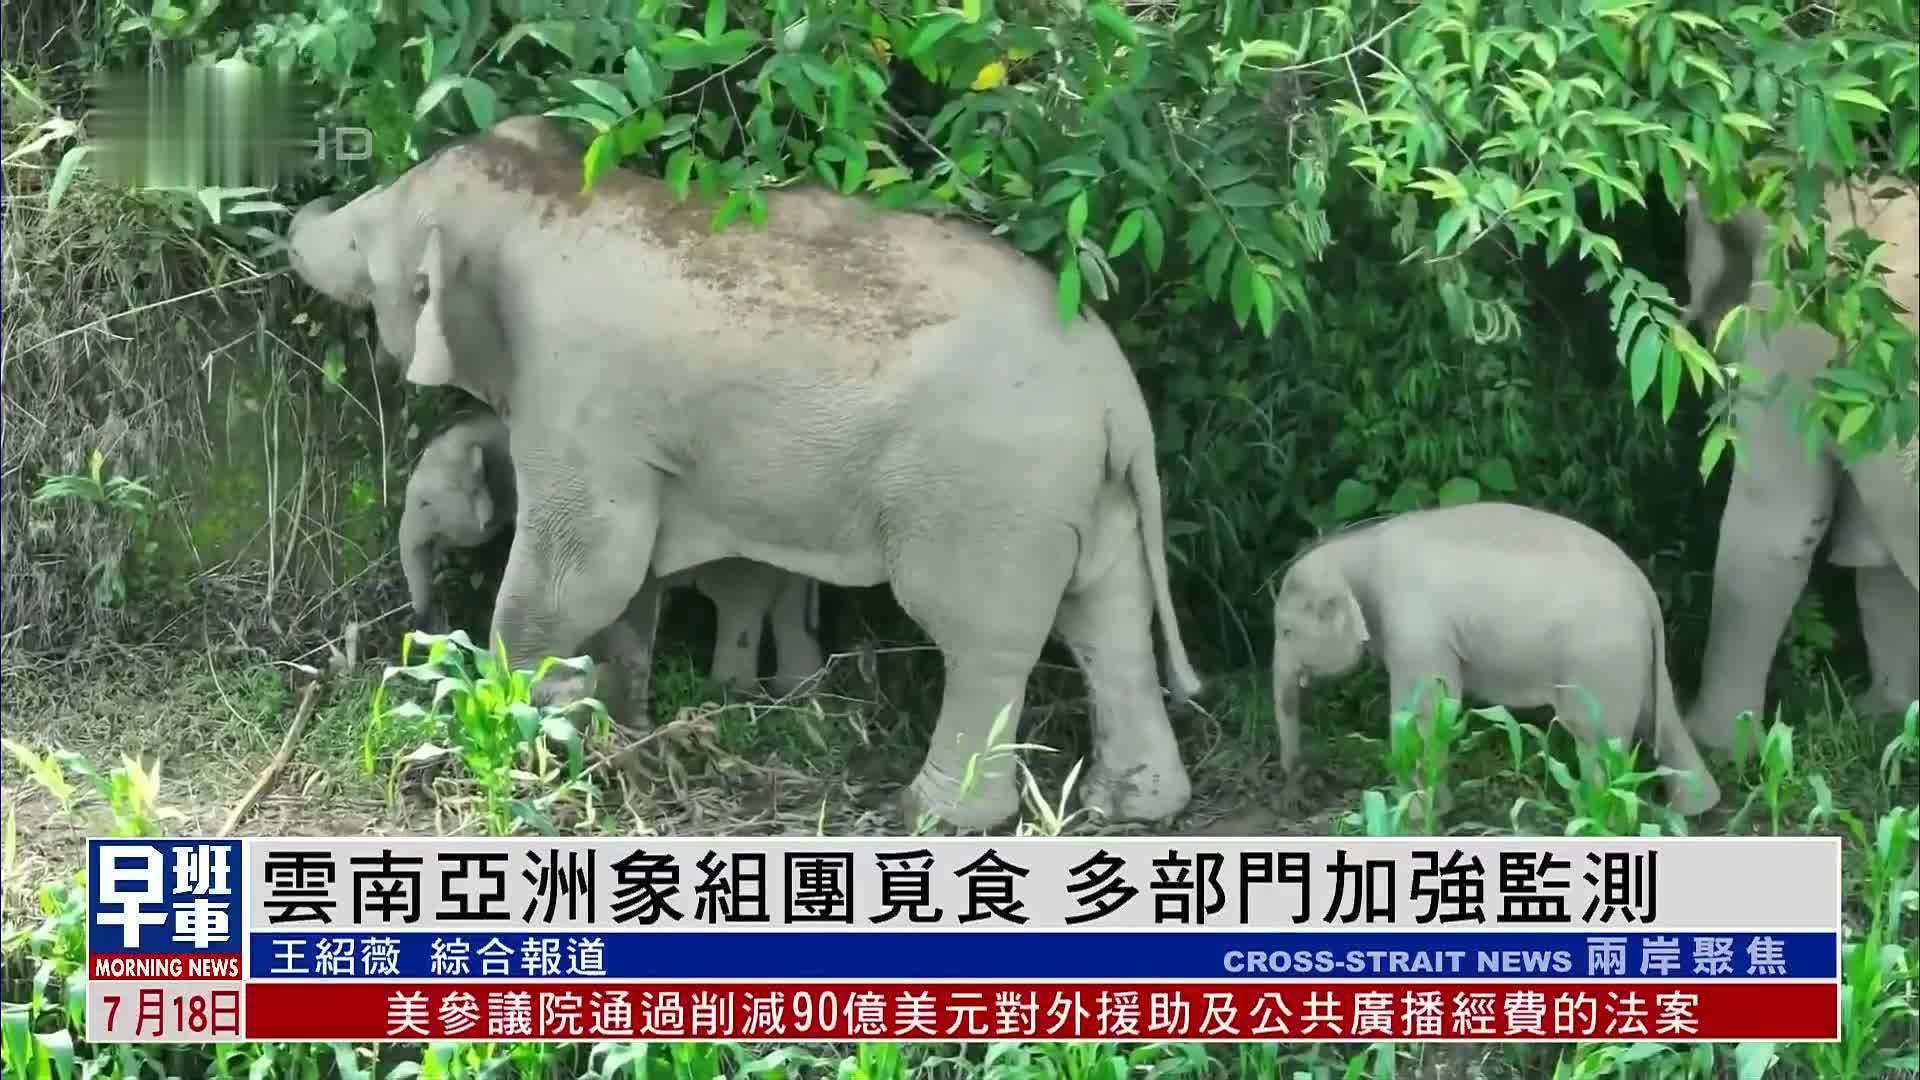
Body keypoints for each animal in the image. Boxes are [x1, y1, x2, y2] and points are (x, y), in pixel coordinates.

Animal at [1269, 501, 1721, 816]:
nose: (1297, 797)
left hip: (1598, 660)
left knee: (1596, 736)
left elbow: (1430, 707)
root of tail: (1644, 590)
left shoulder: (1417, 628)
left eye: (1286, 631)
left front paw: (1413, 812)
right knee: (1657, 718)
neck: (1354, 547)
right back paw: (1696, 809)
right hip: (1633, 658)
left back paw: (1599, 815)